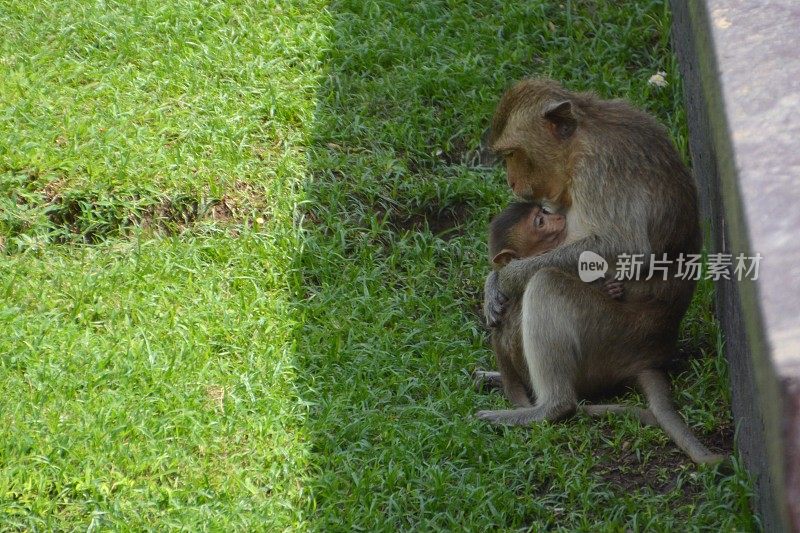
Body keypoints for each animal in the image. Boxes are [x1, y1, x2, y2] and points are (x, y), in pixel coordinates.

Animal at [476, 202, 724, 464]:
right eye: (540, 222)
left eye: (543, 211)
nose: (557, 217)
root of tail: (645, 358)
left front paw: (494, 284)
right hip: (609, 341)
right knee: (546, 281)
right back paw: (553, 407)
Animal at [482, 78, 700, 428]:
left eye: (512, 154)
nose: (511, 181)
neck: (580, 141)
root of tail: (653, 353)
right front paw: (492, 285)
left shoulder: (599, 168)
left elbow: (627, 247)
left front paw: (506, 277)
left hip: (613, 336)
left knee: (546, 284)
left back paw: (550, 407)